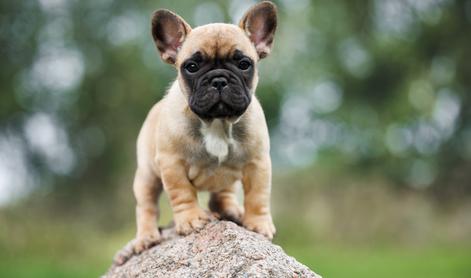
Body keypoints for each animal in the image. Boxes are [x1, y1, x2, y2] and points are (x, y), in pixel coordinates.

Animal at [114, 0, 276, 264]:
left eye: (244, 64)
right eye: (191, 67)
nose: (219, 80)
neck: (217, 122)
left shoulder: (258, 162)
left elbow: (258, 195)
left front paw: (258, 224)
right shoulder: (172, 163)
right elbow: (182, 193)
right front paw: (191, 220)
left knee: (222, 193)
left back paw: (231, 210)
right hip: (147, 175)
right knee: (146, 207)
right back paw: (146, 237)